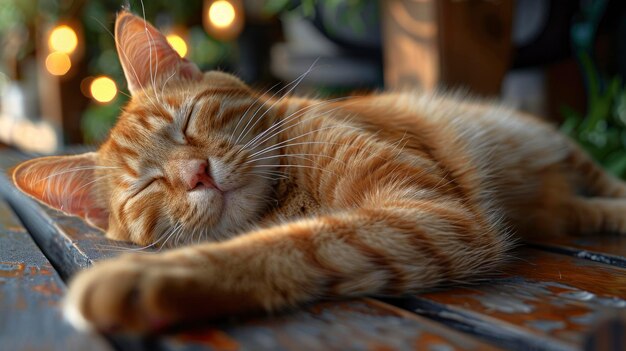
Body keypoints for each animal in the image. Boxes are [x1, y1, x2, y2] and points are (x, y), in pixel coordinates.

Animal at [12, 11, 624, 334]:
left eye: (186, 123)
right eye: (146, 186)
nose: (196, 174)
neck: (285, 196)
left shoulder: (430, 211)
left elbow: (287, 245)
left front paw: (143, 278)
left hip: (558, 148)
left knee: (607, 184)